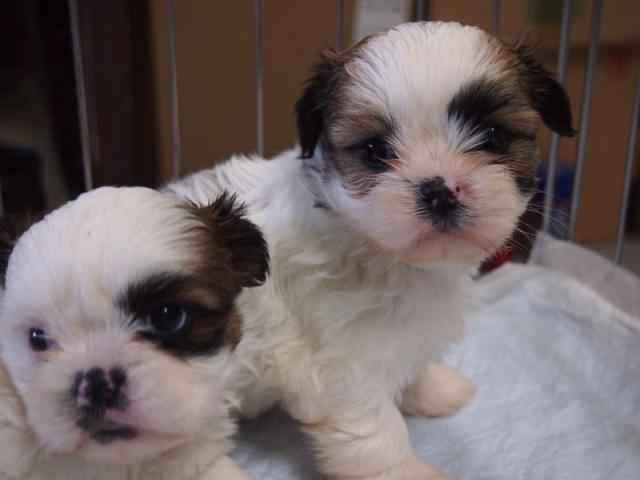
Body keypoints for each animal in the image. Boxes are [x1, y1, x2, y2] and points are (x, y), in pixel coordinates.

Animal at [168, 21, 574, 479]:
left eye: (493, 136)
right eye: (375, 150)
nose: (439, 189)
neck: (369, 243)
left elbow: (411, 359)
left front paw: (433, 388)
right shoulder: (340, 366)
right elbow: (376, 434)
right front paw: (406, 471)